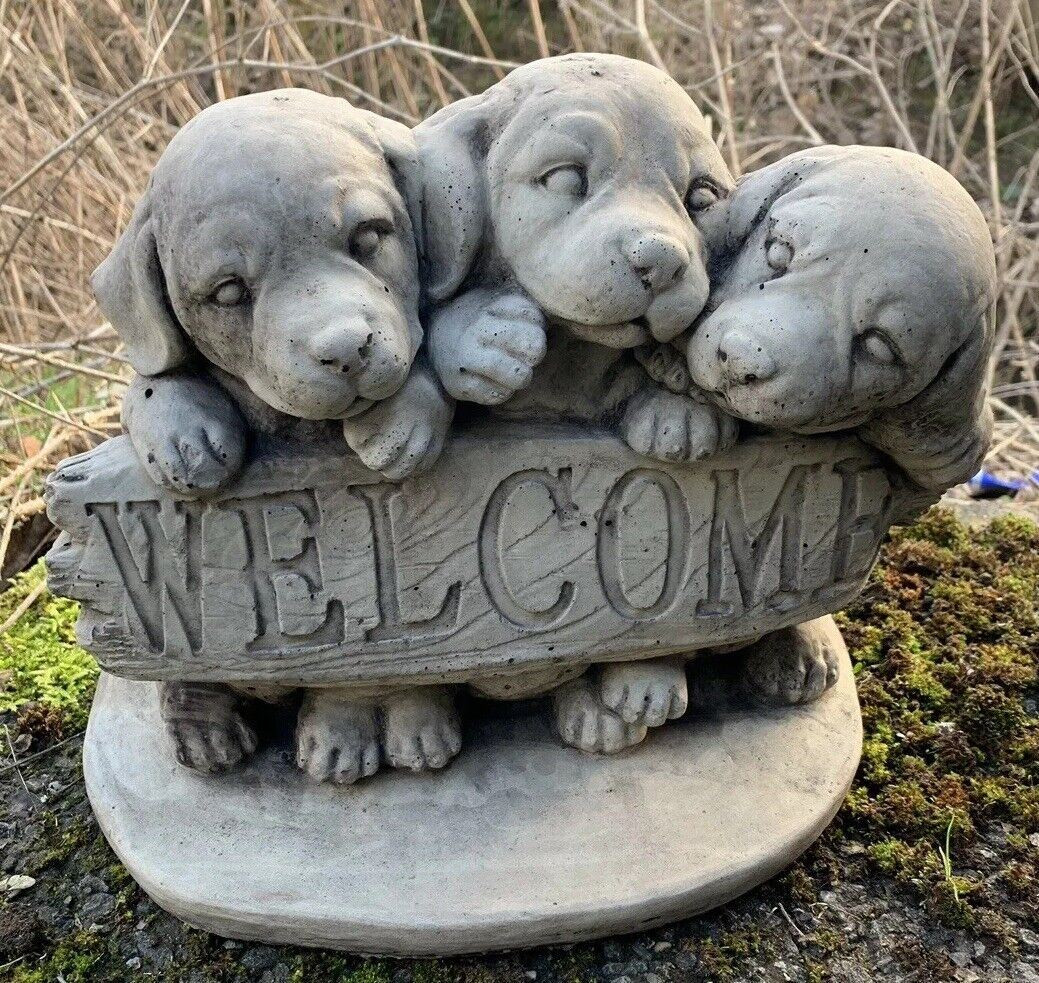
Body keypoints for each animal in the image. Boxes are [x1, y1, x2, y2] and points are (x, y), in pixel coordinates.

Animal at [94, 89, 459, 781]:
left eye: (368, 237)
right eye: (229, 291)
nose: (346, 350)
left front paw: (401, 417)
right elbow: (150, 379)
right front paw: (183, 432)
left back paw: (406, 724)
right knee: (188, 673)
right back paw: (204, 729)